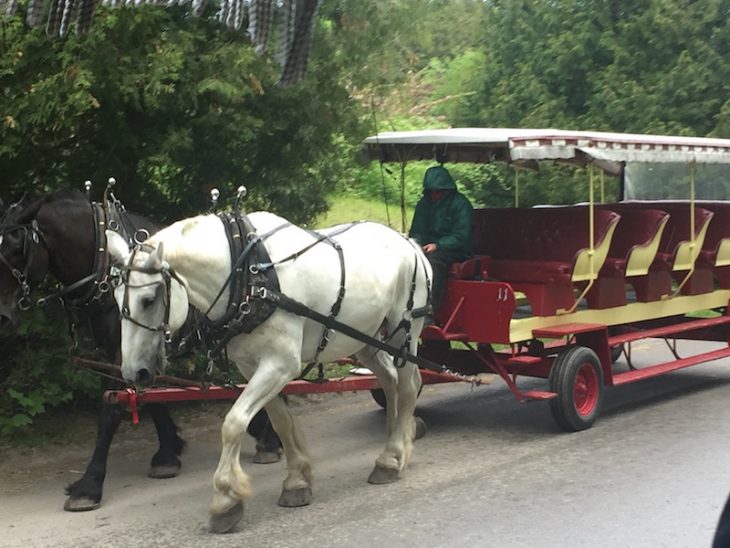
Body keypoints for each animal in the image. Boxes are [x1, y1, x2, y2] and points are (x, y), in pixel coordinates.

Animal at [0, 189, 282, 512]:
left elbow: (111, 409)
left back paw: (270, 439)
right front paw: (168, 453)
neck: (104, 263)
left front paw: (89, 485)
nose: (2, 316)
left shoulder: (126, 349)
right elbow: (150, 396)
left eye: (15, 247)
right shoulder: (129, 351)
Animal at [105, 212, 430, 532]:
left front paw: (226, 499)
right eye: (115, 299)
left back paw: (392, 457)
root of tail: (410, 243)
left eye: (148, 300)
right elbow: (281, 421)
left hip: (405, 330)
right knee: (388, 378)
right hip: (364, 338)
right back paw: (395, 439)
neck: (249, 276)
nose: (134, 373)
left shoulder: (281, 363)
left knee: (409, 385)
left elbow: (234, 422)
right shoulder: (253, 366)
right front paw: (297, 479)